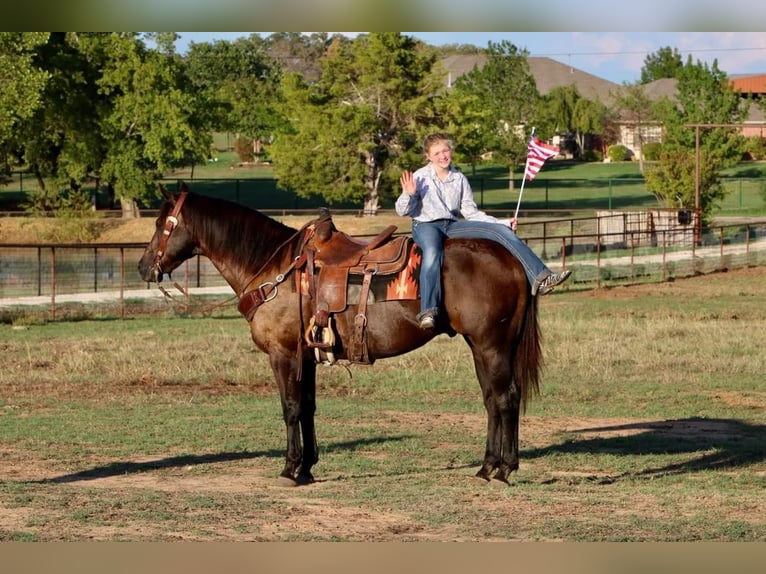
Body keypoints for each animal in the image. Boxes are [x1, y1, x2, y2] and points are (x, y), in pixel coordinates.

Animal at [138, 187, 544, 488]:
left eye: (161, 224)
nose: (143, 267)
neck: (275, 271)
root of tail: (512, 261)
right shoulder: (306, 356)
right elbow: (308, 408)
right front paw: (306, 467)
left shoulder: (283, 354)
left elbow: (290, 408)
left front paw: (289, 469)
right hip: (482, 347)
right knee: (493, 400)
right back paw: (487, 466)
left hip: (492, 345)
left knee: (505, 398)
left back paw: (504, 470)